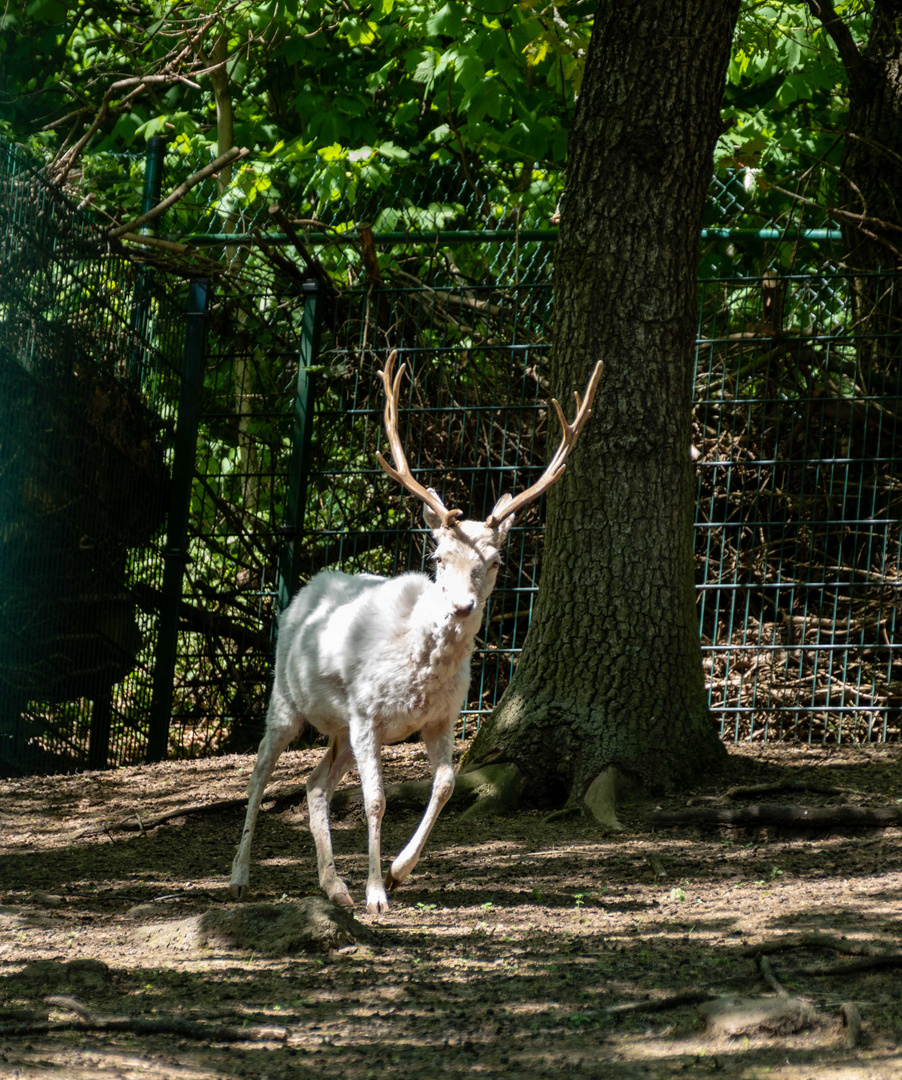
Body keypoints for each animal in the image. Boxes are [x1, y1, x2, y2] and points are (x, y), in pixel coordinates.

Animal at [229, 352, 604, 911]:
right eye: (440, 556)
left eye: (495, 562)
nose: (463, 605)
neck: (420, 671)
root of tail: (308, 586)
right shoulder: (366, 714)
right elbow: (376, 800)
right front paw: (377, 893)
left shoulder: (442, 718)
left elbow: (446, 784)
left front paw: (400, 871)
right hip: (287, 700)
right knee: (258, 775)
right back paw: (240, 876)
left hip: (338, 730)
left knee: (315, 785)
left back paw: (333, 886)